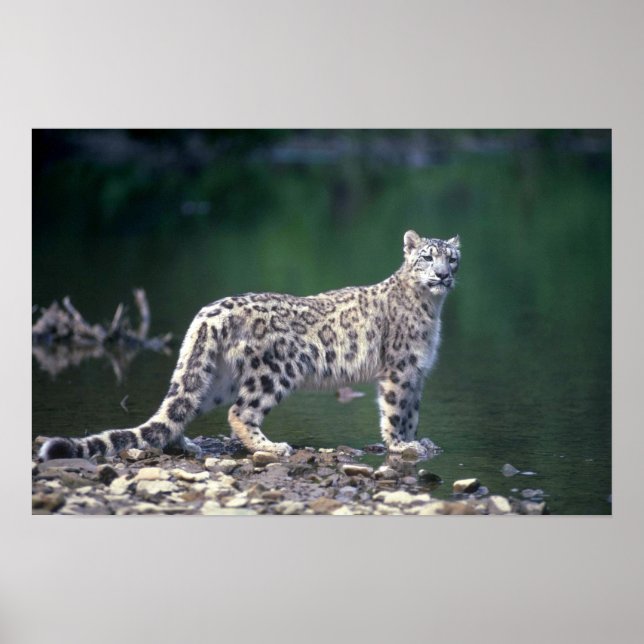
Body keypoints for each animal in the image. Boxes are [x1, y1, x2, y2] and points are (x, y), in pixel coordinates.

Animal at [38, 230, 460, 461]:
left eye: (453, 258)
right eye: (427, 257)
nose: (443, 275)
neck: (433, 310)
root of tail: (208, 312)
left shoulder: (418, 372)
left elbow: (412, 412)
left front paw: (418, 441)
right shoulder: (400, 369)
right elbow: (395, 411)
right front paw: (402, 446)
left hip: (218, 378)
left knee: (183, 408)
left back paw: (184, 445)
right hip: (276, 372)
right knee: (240, 412)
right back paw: (273, 447)